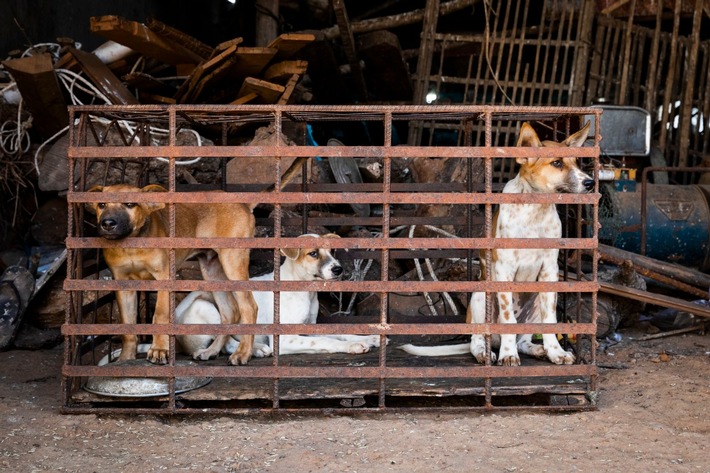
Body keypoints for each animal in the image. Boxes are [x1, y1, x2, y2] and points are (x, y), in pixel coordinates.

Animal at [176, 232, 384, 358]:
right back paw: (256, 350)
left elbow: (339, 333)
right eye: (313, 253)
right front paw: (353, 346)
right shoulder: (284, 338)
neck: (305, 293)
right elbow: (324, 341)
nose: (338, 269)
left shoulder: (310, 326)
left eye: (332, 251)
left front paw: (370, 338)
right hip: (207, 307)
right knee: (225, 343)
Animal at [400, 121, 596, 366]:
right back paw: (486, 353)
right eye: (557, 163)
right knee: (477, 340)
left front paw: (555, 352)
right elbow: (507, 319)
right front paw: (508, 355)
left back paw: (536, 349)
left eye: (576, 162)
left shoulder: (550, 270)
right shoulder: (504, 269)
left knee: (524, 338)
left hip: (534, 304)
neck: (535, 210)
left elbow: (550, 319)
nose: (590, 183)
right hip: (479, 298)